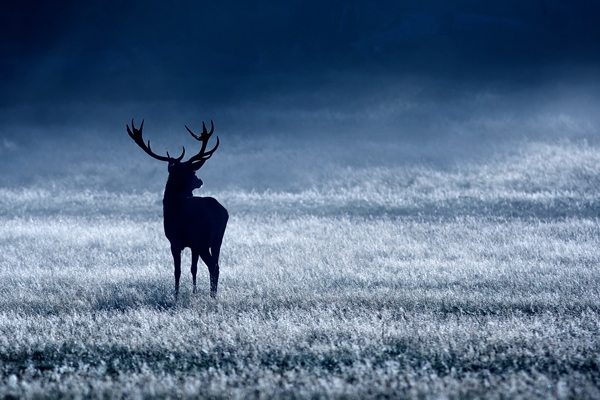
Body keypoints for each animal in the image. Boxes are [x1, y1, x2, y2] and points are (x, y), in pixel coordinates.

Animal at [127, 119, 230, 300]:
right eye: (193, 172)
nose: (200, 181)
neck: (170, 203)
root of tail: (221, 213)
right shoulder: (193, 245)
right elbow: (193, 269)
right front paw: (194, 291)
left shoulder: (174, 241)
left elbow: (177, 271)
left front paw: (175, 296)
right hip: (217, 239)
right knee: (217, 264)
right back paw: (213, 294)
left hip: (202, 238)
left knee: (212, 265)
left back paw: (212, 296)